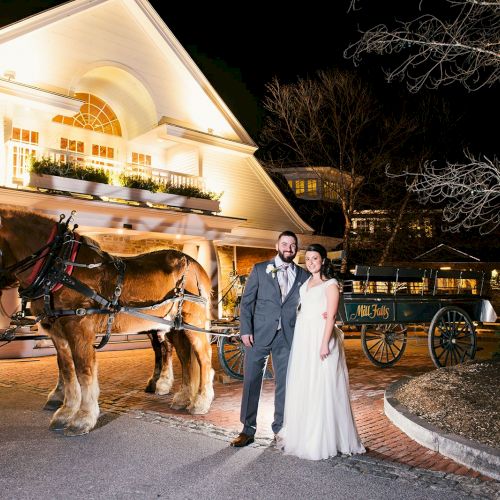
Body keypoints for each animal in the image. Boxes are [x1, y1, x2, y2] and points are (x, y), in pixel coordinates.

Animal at [0, 207, 213, 434]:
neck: (59, 267)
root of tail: (196, 265)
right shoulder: (58, 334)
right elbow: (67, 371)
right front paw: (65, 412)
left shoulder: (80, 330)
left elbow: (84, 371)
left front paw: (83, 418)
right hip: (174, 326)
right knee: (185, 357)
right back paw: (183, 397)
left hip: (194, 323)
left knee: (203, 356)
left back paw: (201, 401)